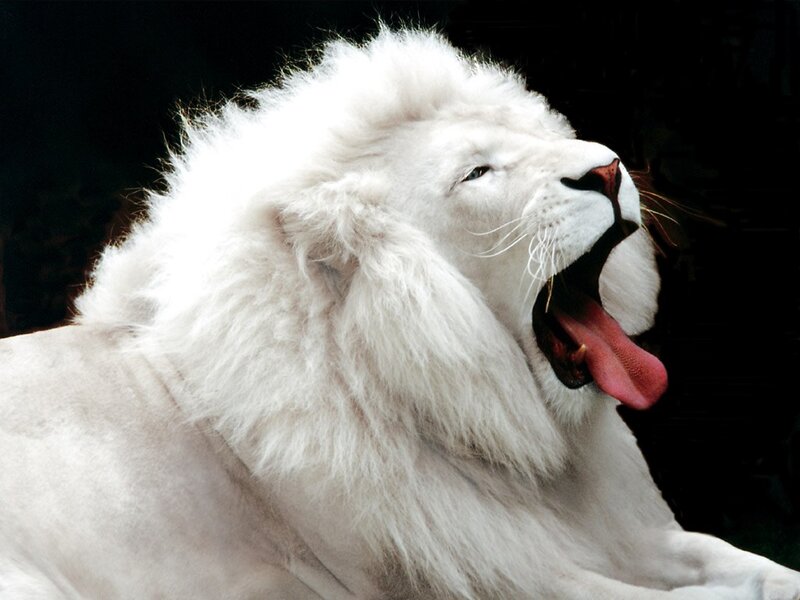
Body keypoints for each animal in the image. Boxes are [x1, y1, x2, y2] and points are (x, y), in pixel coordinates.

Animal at [0, 28, 798, 600]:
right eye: (477, 172)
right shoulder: (506, 578)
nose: (607, 169)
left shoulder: (636, 537)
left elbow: (757, 570)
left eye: (533, 135)